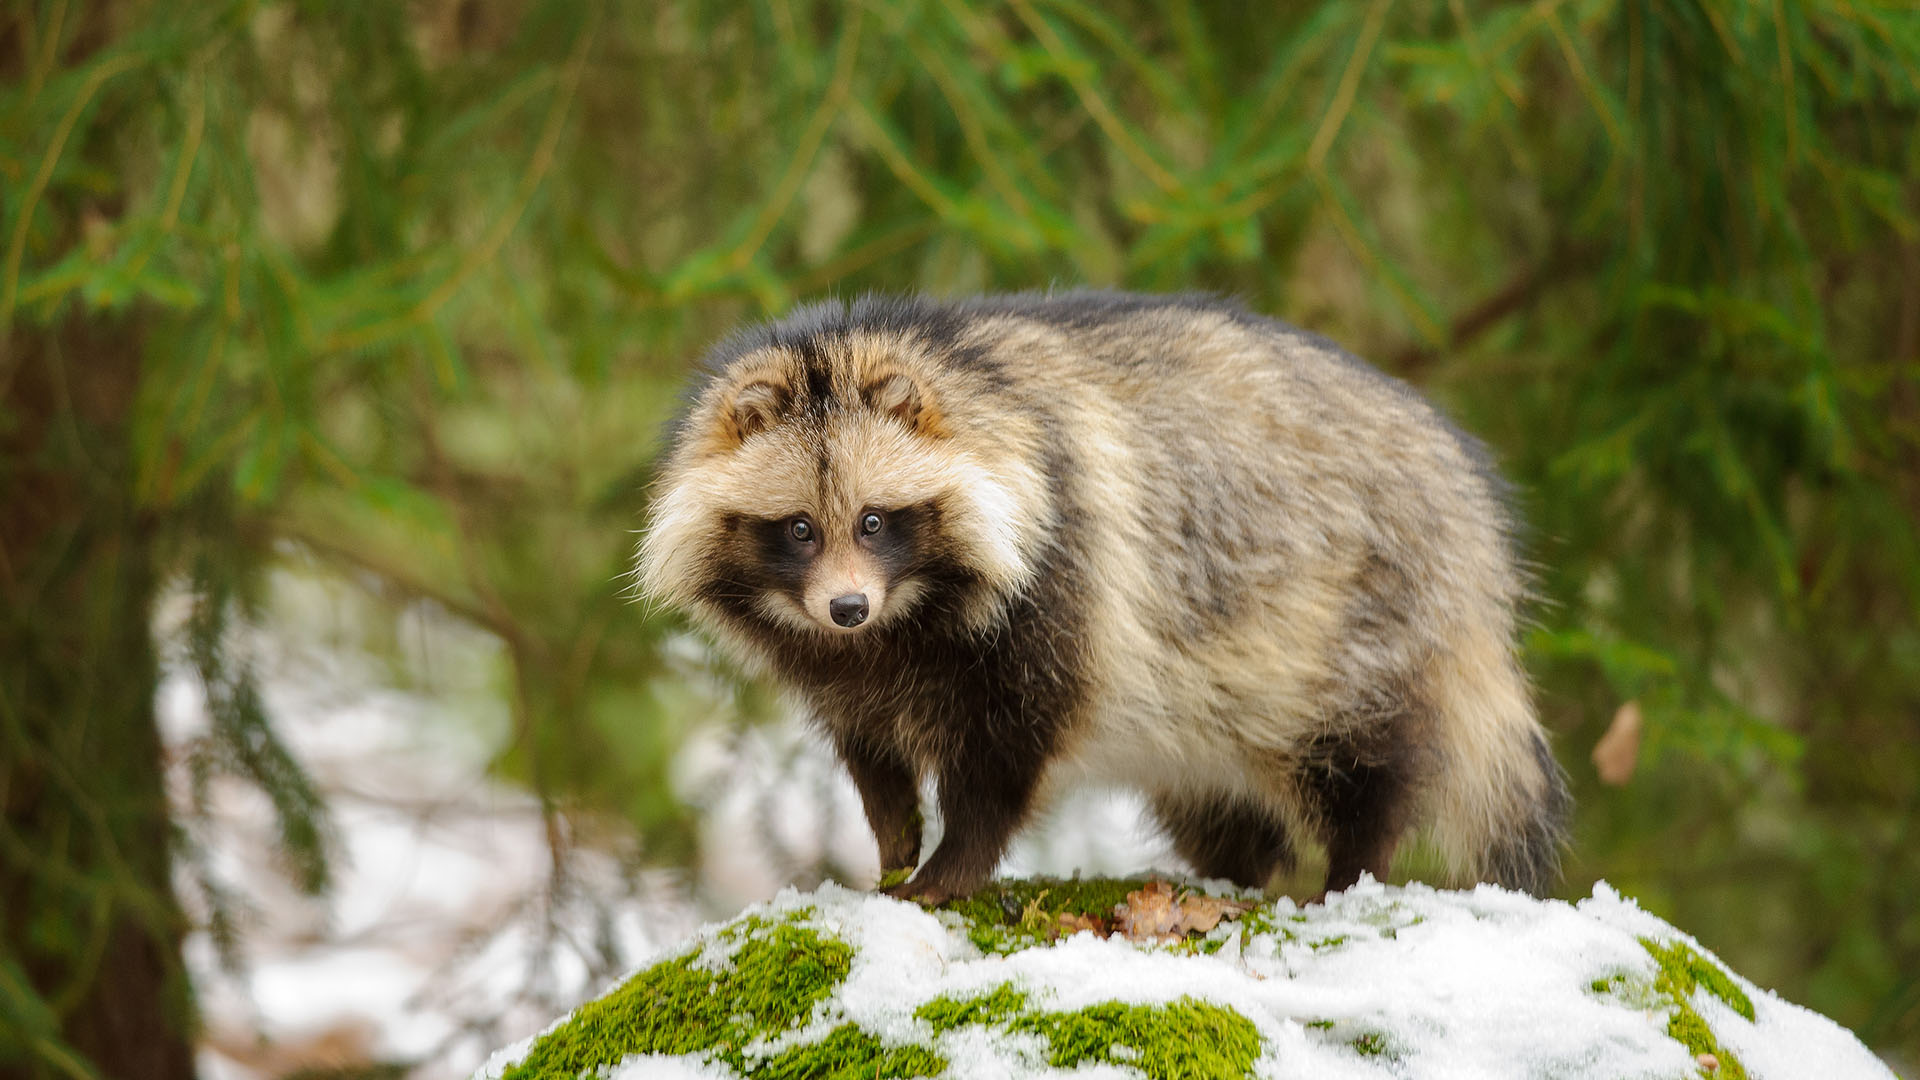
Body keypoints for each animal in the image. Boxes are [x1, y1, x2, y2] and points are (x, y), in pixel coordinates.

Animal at [637, 292, 1566, 899]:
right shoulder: (840, 666)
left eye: (873, 521)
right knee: (1220, 801)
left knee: (1367, 760)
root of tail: (1472, 510)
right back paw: (1235, 872)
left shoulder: (1064, 573)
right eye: (799, 529)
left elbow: (1009, 749)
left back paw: (1353, 869)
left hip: (1358, 617)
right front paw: (894, 840)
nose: (846, 609)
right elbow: (871, 751)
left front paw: (950, 865)